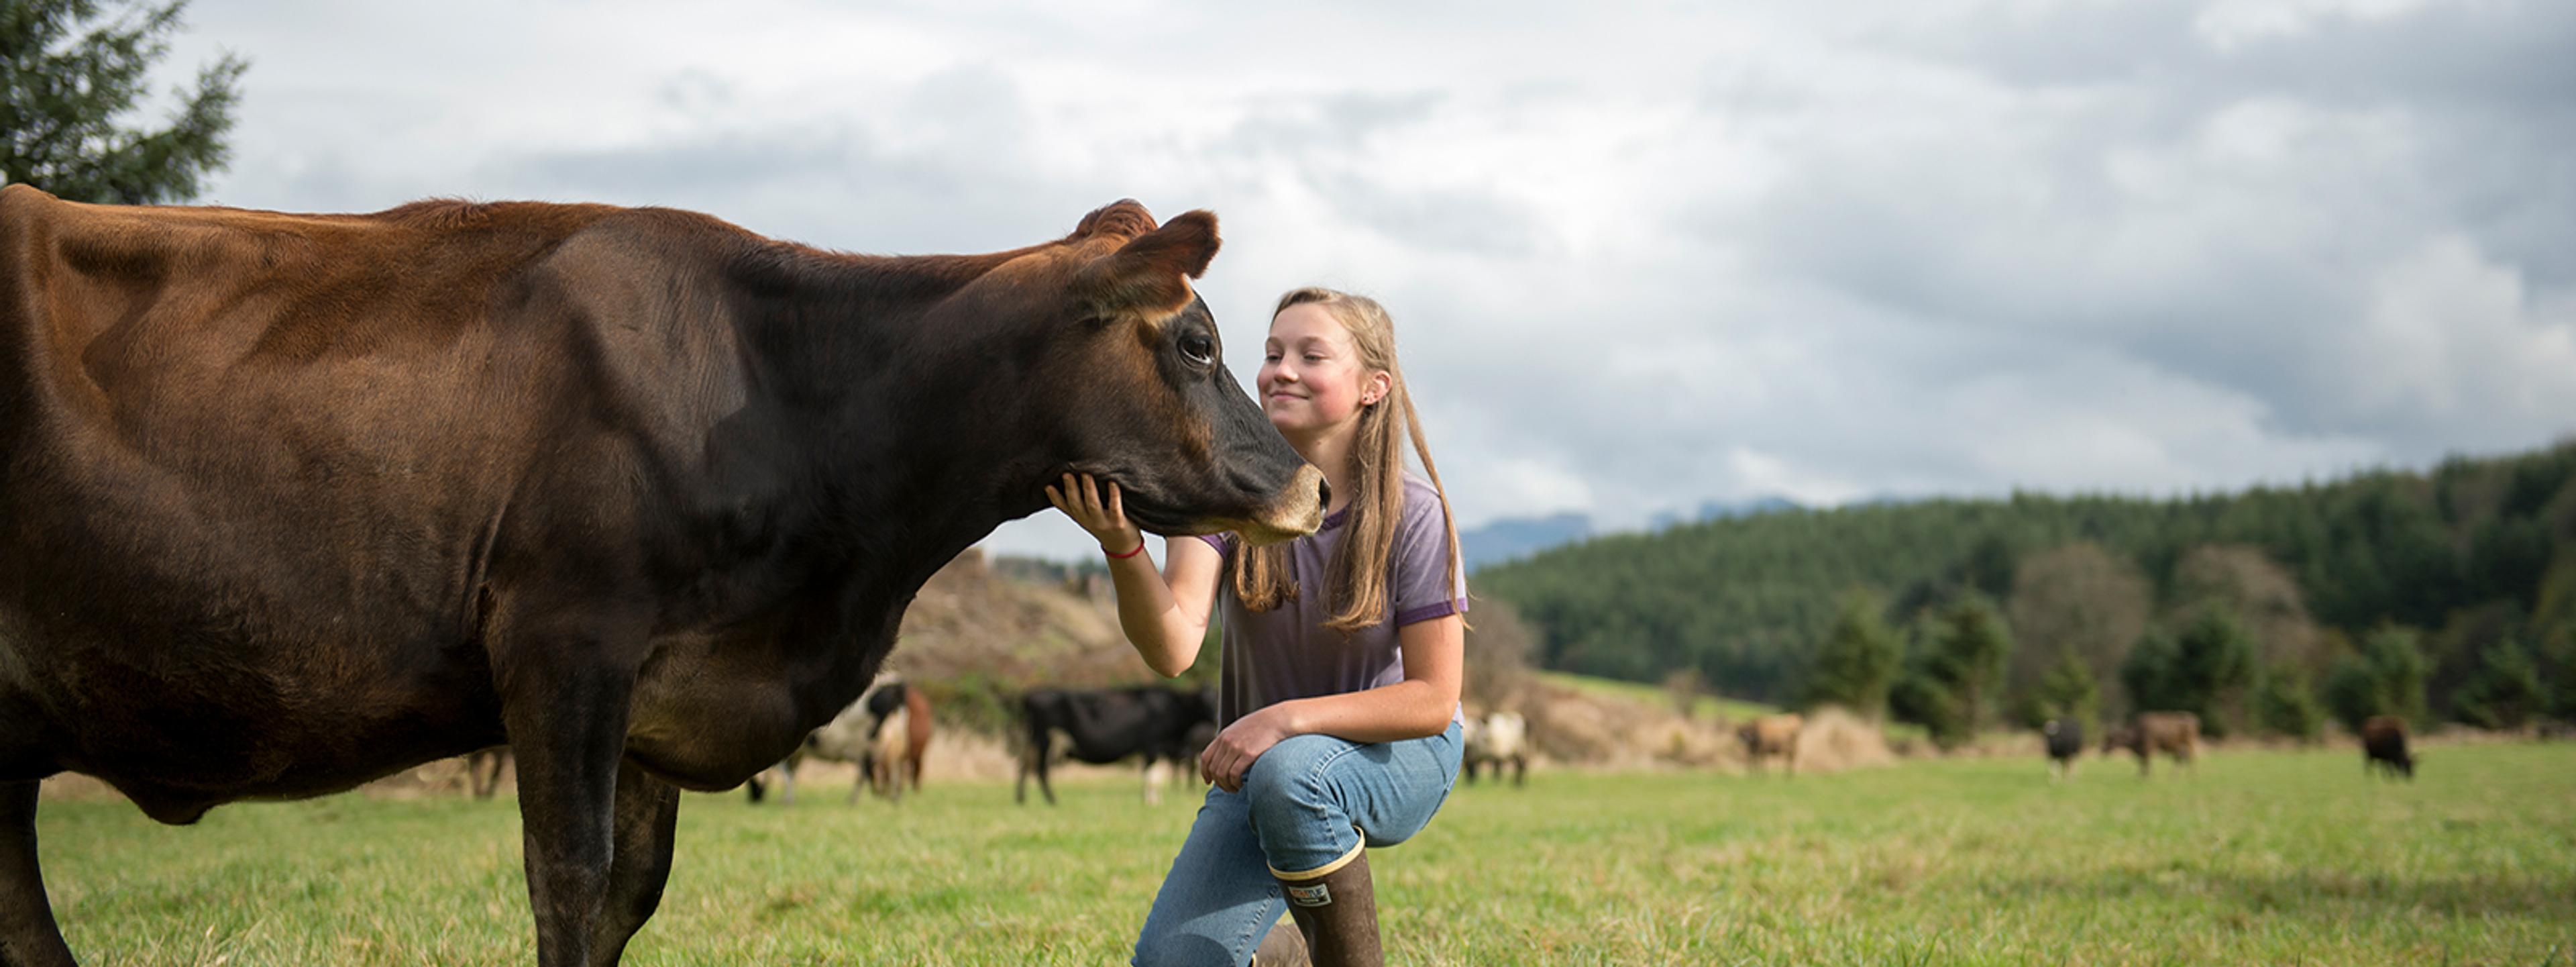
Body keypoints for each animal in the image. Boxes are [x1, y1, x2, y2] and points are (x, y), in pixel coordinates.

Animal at [1015, 685, 1216, 806]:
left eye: (1214, 698)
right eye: (1204, 701)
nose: (1216, 716)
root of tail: (1030, 696)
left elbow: (1155, 777)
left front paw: (1153, 801)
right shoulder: (1153, 745)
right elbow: (1151, 777)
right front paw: (1150, 802)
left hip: (1033, 741)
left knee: (1024, 766)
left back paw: (1021, 799)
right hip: (1046, 739)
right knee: (1040, 770)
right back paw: (1053, 801)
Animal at [2102, 711, 2201, 777]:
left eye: (2109, 739)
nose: (2103, 749)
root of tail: (2193, 718)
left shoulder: (2148, 748)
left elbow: (2146, 762)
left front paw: (2147, 776)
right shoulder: (2142, 751)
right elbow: (2142, 762)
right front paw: (2141, 776)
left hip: (2189, 743)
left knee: (2191, 757)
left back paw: (2192, 776)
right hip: (2179, 747)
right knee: (2181, 759)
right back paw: (2175, 776)